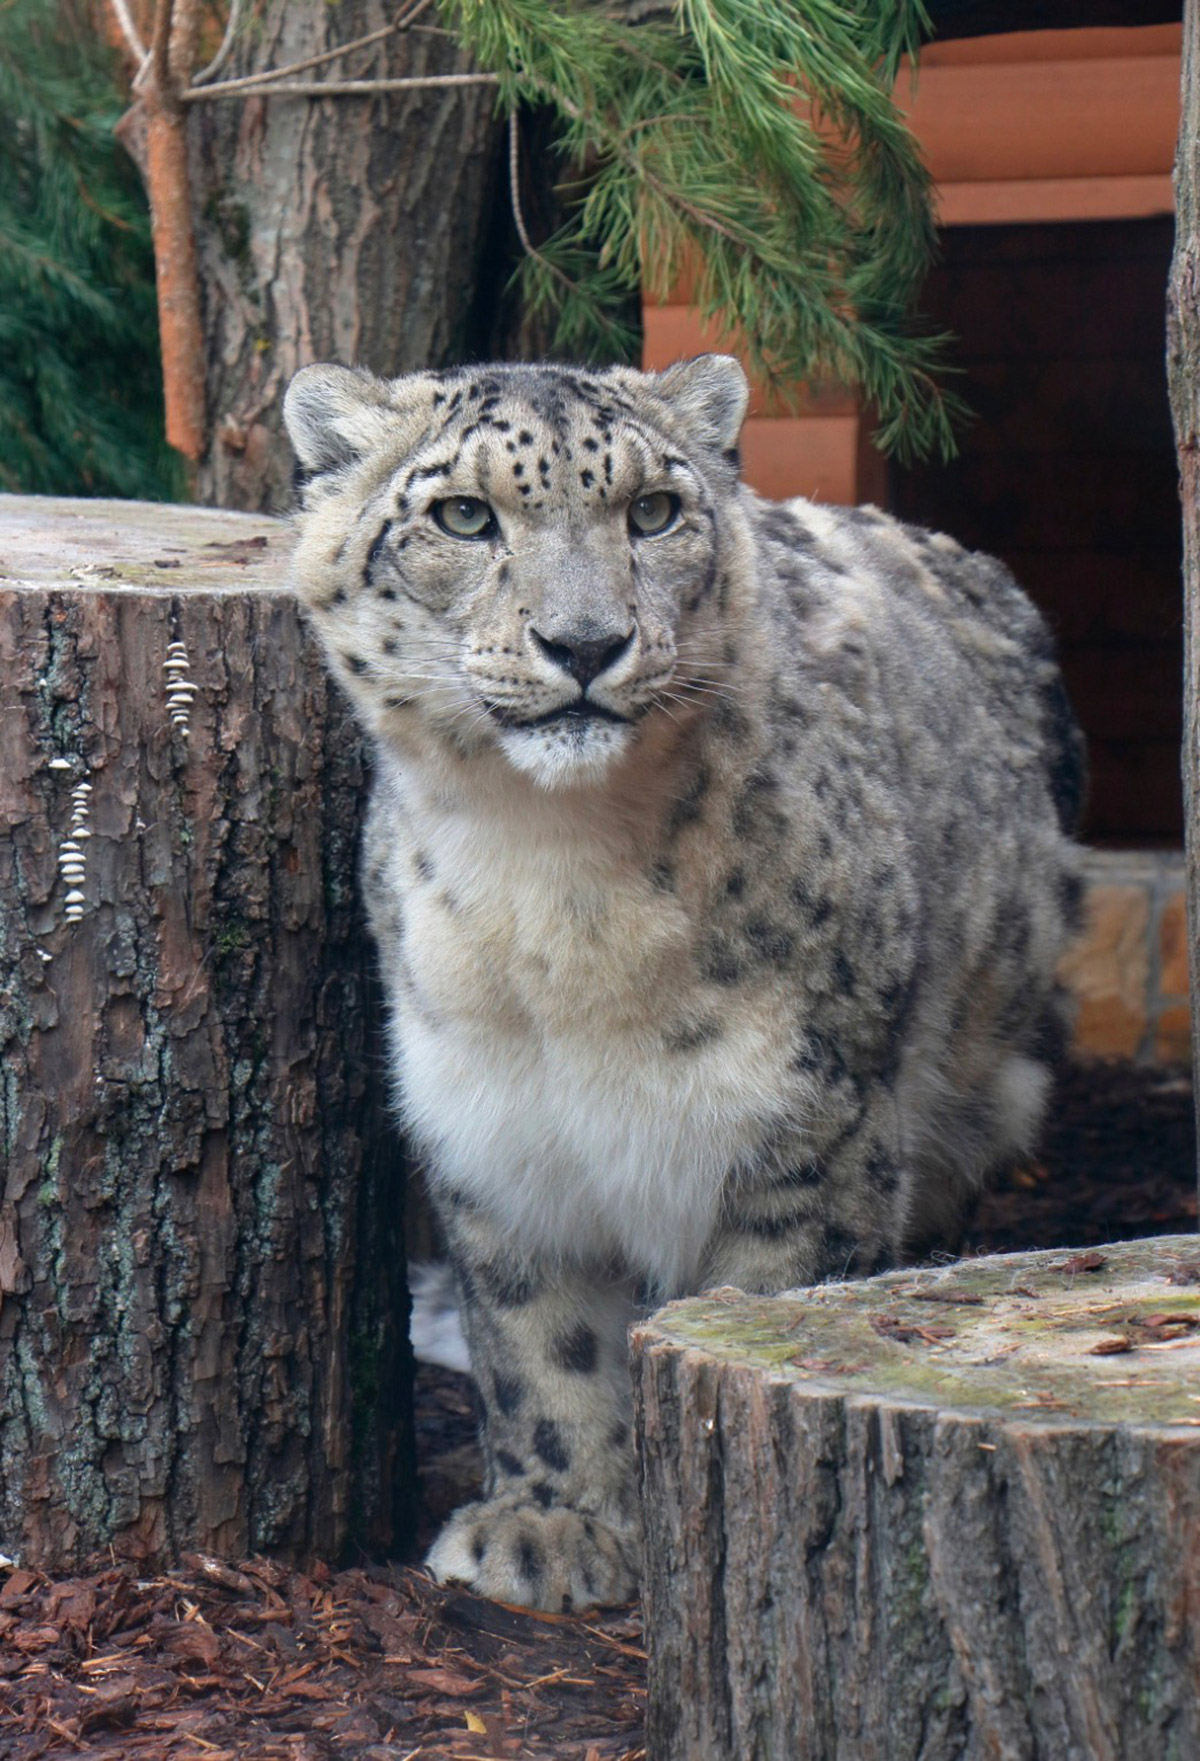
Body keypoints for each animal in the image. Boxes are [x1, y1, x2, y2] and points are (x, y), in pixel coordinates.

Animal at [283, 353, 1085, 1613]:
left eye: (653, 510)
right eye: (463, 515)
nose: (584, 642)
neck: (552, 885)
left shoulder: (814, 1125)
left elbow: (770, 1296)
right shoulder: (491, 1123)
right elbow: (537, 1341)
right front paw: (550, 1525)